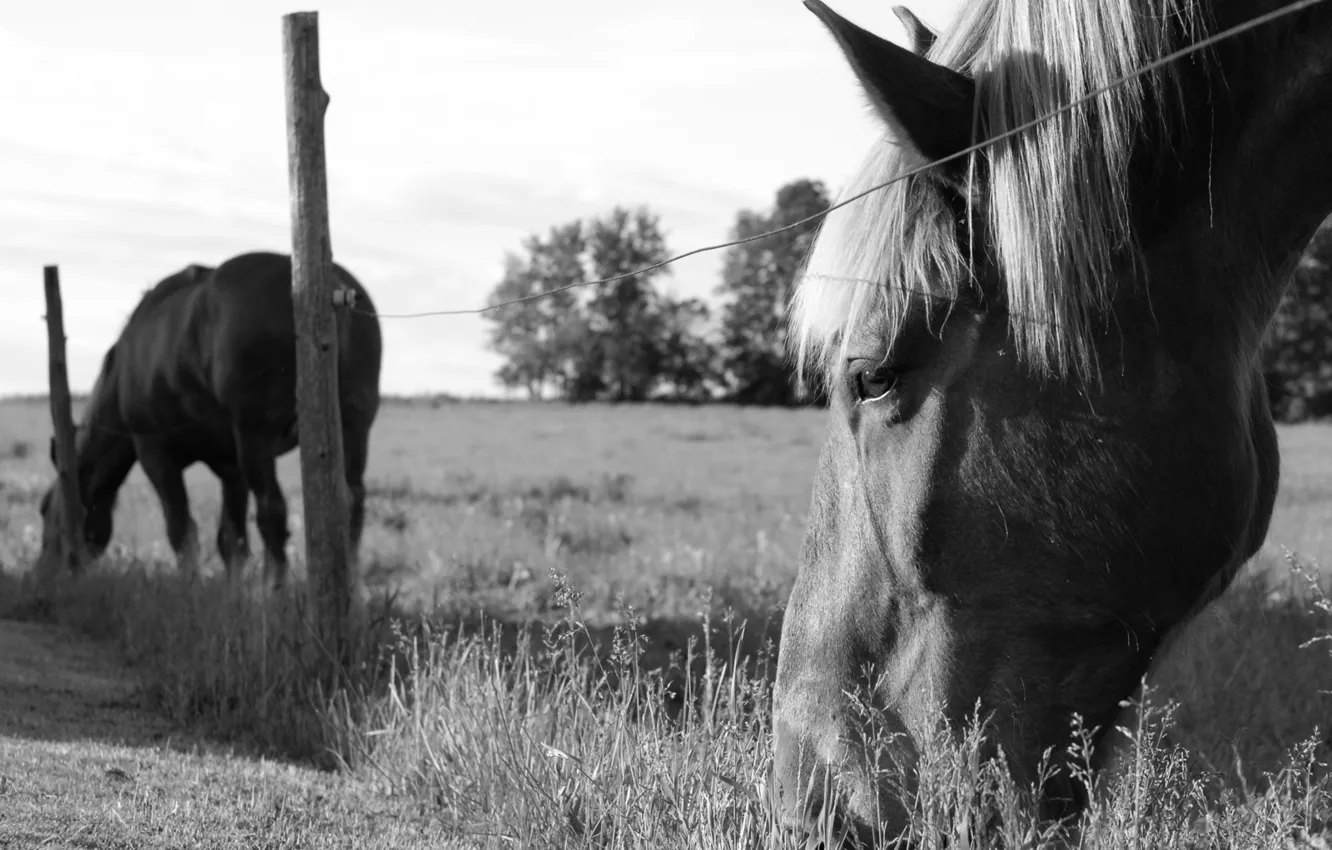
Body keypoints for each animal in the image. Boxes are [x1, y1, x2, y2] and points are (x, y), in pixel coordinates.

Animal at [33, 250, 386, 588]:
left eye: (46, 511)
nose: (41, 575)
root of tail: (331, 288)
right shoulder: (232, 470)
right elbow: (231, 540)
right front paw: (233, 596)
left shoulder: (155, 454)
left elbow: (181, 529)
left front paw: (192, 589)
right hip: (352, 428)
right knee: (351, 501)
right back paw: (352, 590)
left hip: (256, 437)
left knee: (272, 510)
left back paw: (273, 592)